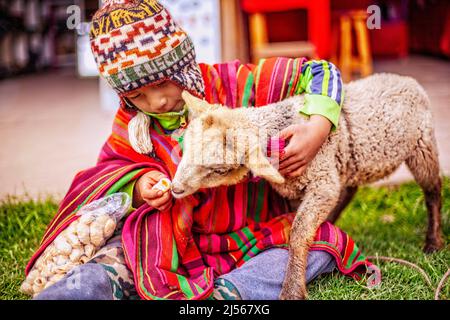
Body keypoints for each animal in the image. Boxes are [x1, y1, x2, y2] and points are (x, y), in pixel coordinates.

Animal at [171, 73, 444, 300]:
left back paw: (433, 242)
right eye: (185, 149)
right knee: (349, 189)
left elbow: (299, 230)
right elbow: (296, 224)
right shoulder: (298, 190)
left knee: (433, 191)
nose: (175, 189)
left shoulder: (322, 182)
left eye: (219, 170)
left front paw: (292, 288)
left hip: (423, 146)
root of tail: (407, 80)